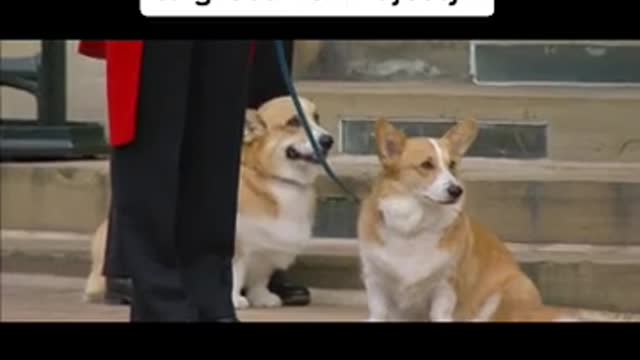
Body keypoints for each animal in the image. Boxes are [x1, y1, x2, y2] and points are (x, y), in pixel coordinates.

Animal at [85, 96, 336, 310]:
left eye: (317, 118)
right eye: (294, 121)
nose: (329, 140)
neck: (269, 177)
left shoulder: (266, 250)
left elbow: (260, 279)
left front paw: (262, 298)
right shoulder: (235, 247)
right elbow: (234, 274)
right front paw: (234, 300)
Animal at [358, 119, 576, 324]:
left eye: (452, 165)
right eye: (426, 165)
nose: (457, 191)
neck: (415, 226)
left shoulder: (445, 287)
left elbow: (440, 313)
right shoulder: (376, 282)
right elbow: (378, 313)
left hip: (510, 293)